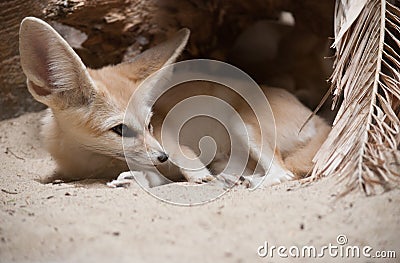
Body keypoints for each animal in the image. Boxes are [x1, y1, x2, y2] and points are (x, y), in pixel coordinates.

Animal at [18, 17, 330, 188]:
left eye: (150, 124)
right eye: (121, 130)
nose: (162, 157)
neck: (94, 159)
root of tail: (319, 118)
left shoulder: (170, 138)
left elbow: (188, 160)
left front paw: (199, 177)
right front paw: (132, 180)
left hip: (239, 122)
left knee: (283, 173)